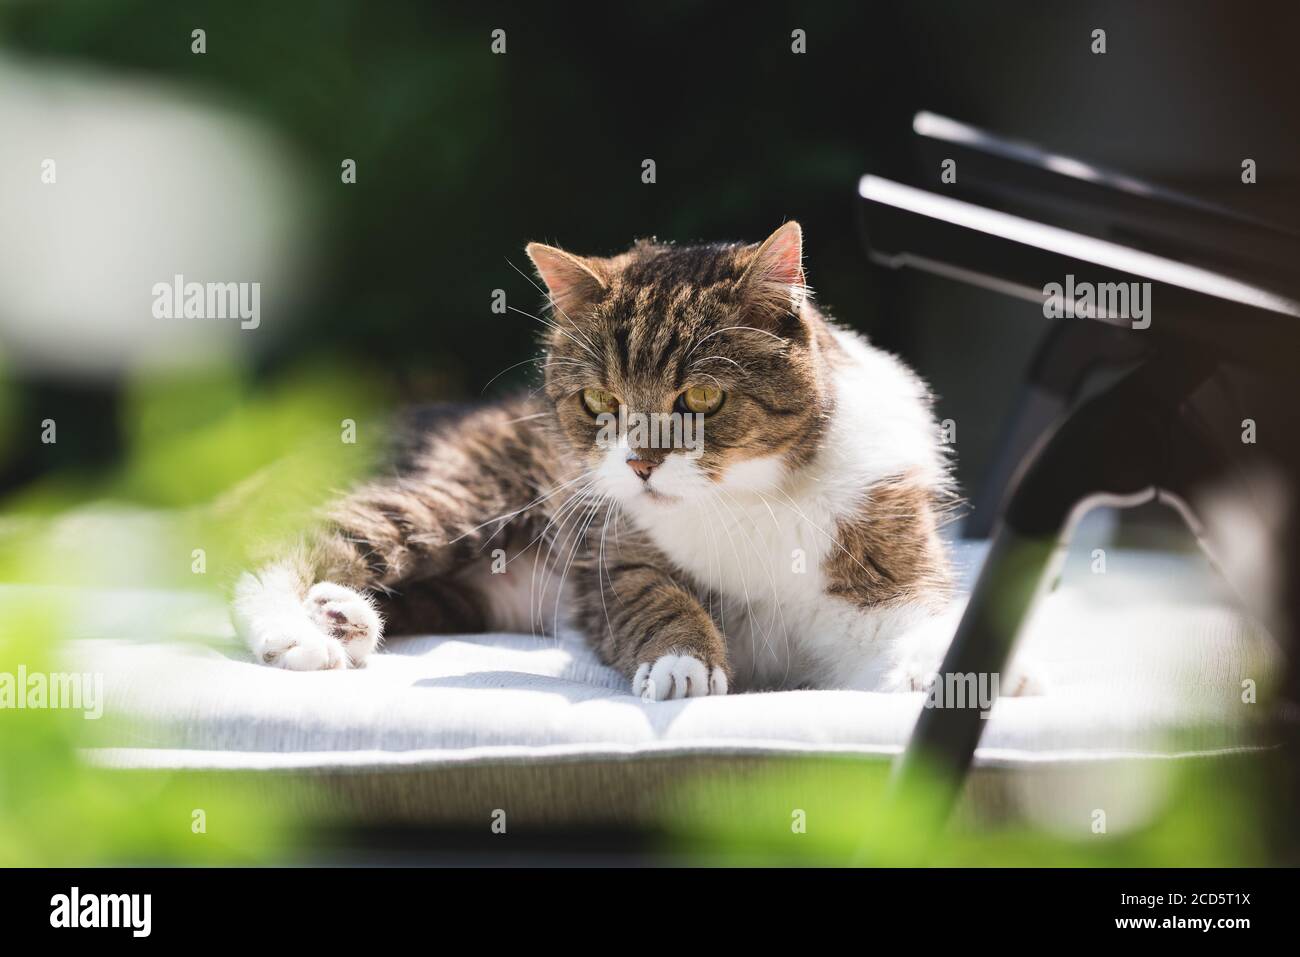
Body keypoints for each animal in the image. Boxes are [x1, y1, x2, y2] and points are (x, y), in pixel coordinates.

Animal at [233, 227, 1040, 696]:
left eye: (704, 395)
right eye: (599, 399)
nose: (643, 465)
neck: (750, 497)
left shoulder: (876, 543)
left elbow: (914, 614)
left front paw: (970, 669)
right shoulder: (610, 553)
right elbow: (650, 595)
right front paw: (684, 661)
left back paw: (342, 614)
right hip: (465, 495)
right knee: (292, 539)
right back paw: (300, 631)